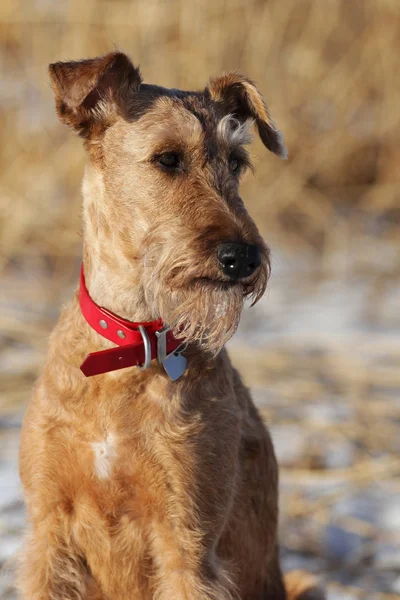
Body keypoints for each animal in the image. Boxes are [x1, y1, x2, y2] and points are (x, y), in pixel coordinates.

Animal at [18, 52, 324, 600]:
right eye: (167, 158)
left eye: (237, 162)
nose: (243, 258)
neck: (129, 350)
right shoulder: (48, 531)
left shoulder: (187, 537)